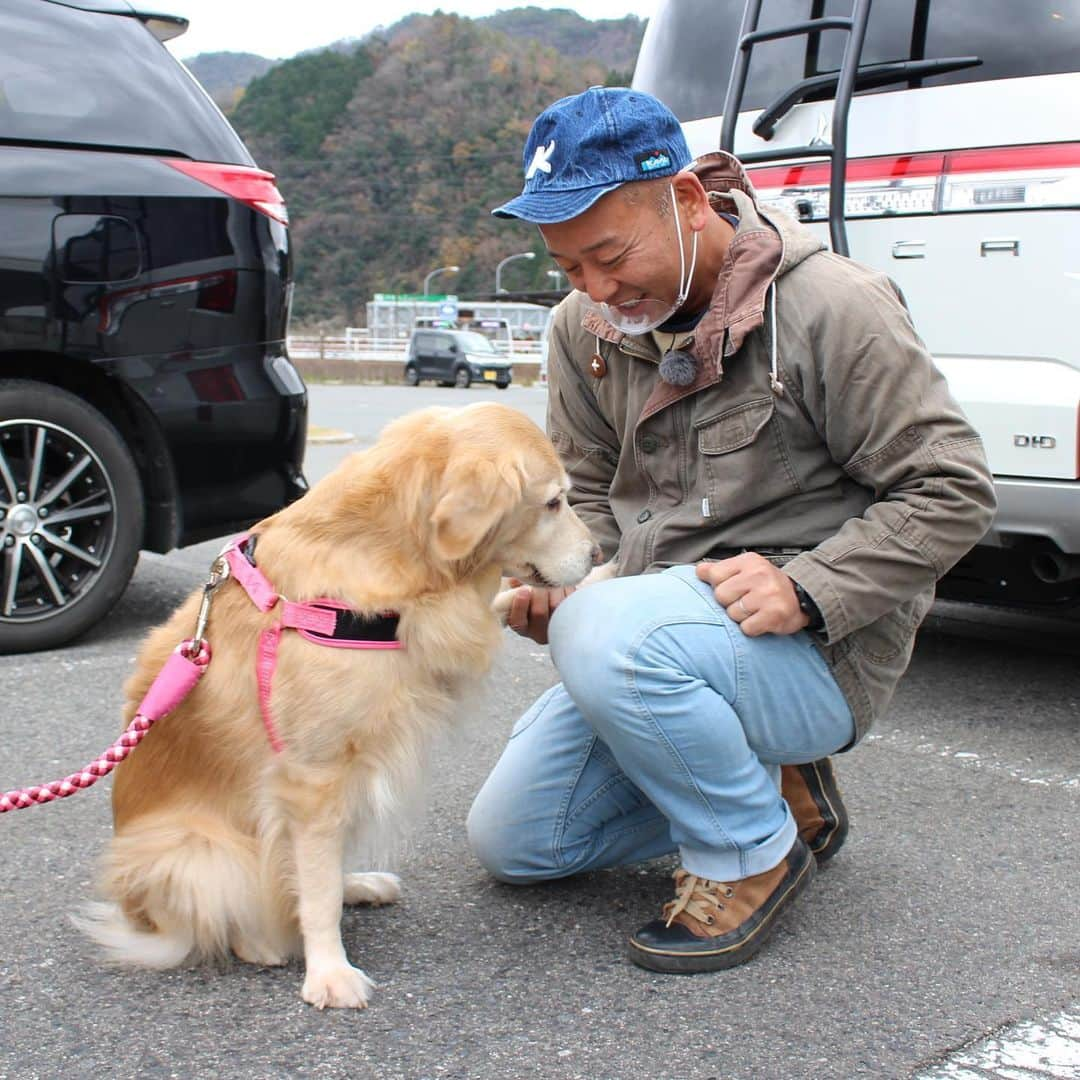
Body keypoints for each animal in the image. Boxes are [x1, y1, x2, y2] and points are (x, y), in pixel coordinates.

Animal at [76, 401, 600, 1006]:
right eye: (553, 502)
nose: (597, 552)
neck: (389, 548)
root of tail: (132, 911)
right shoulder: (312, 775)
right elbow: (316, 888)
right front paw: (328, 971)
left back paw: (356, 885)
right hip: (199, 849)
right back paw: (261, 940)